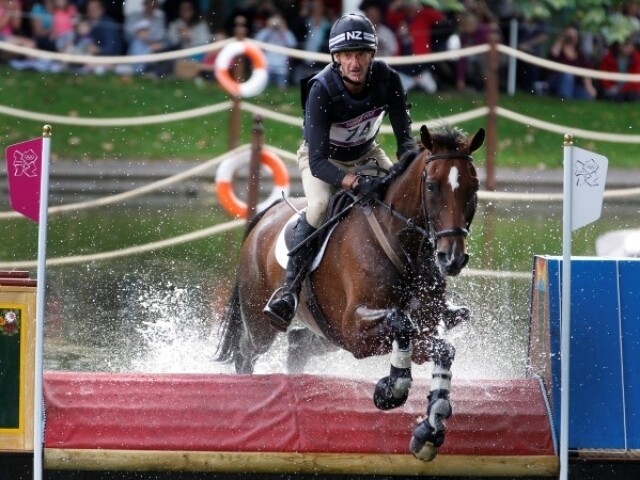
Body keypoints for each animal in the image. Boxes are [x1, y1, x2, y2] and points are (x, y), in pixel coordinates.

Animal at [216, 124, 484, 462]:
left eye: (474, 187)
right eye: (432, 186)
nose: (453, 258)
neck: (405, 248)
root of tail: (265, 216)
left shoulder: (420, 329)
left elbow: (443, 350)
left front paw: (429, 430)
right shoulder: (355, 330)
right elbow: (401, 322)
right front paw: (391, 389)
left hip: (326, 336)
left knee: (297, 347)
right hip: (262, 323)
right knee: (246, 352)